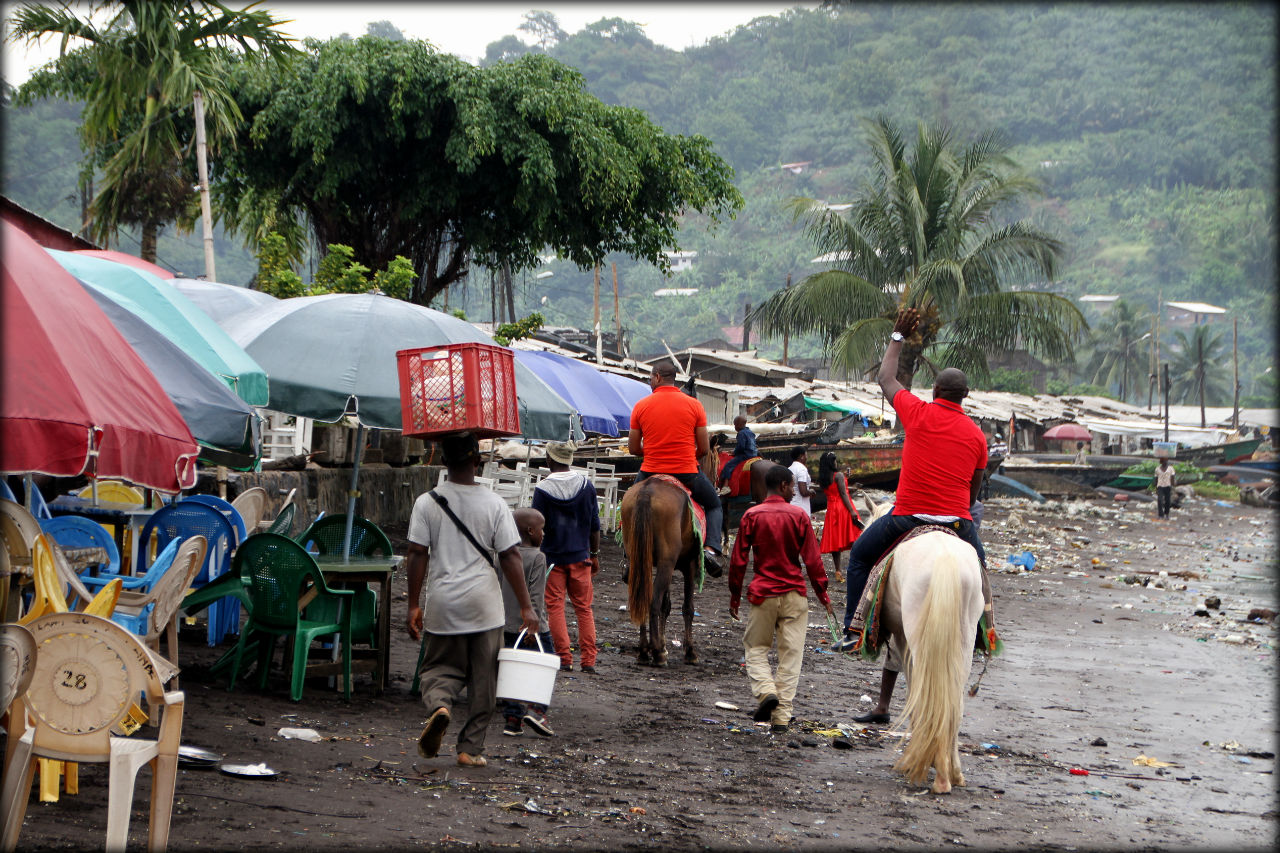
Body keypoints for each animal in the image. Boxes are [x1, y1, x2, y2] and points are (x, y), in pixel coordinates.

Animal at [855, 489, 983, 794]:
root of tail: (945, 561)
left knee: (925, 691)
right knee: (954, 700)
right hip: (964, 639)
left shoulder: (902, 638)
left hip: (916, 637)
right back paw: (952, 773)